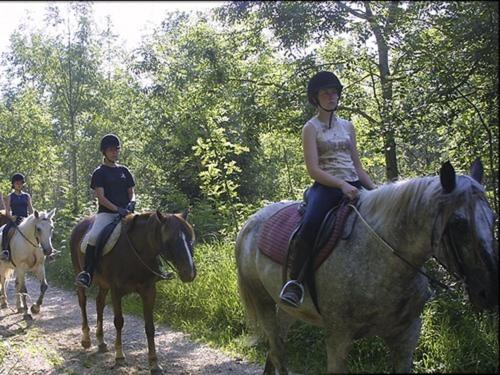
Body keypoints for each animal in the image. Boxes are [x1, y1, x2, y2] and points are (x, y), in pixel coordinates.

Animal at [70, 210, 195, 374]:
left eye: (190, 238)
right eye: (170, 240)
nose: (190, 273)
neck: (136, 252)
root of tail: (78, 225)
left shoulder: (149, 291)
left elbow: (150, 327)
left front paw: (154, 364)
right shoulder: (116, 291)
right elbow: (118, 322)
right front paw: (119, 357)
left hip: (104, 284)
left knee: (99, 303)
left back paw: (101, 342)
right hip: (80, 275)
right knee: (82, 302)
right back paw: (86, 339)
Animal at [236, 160, 498, 374]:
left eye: (493, 218)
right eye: (458, 224)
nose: (489, 292)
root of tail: (250, 222)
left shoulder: (406, 336)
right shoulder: (339, 337)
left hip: (288, 310)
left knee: (276, 348)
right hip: (264, 303)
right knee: (277, 352)